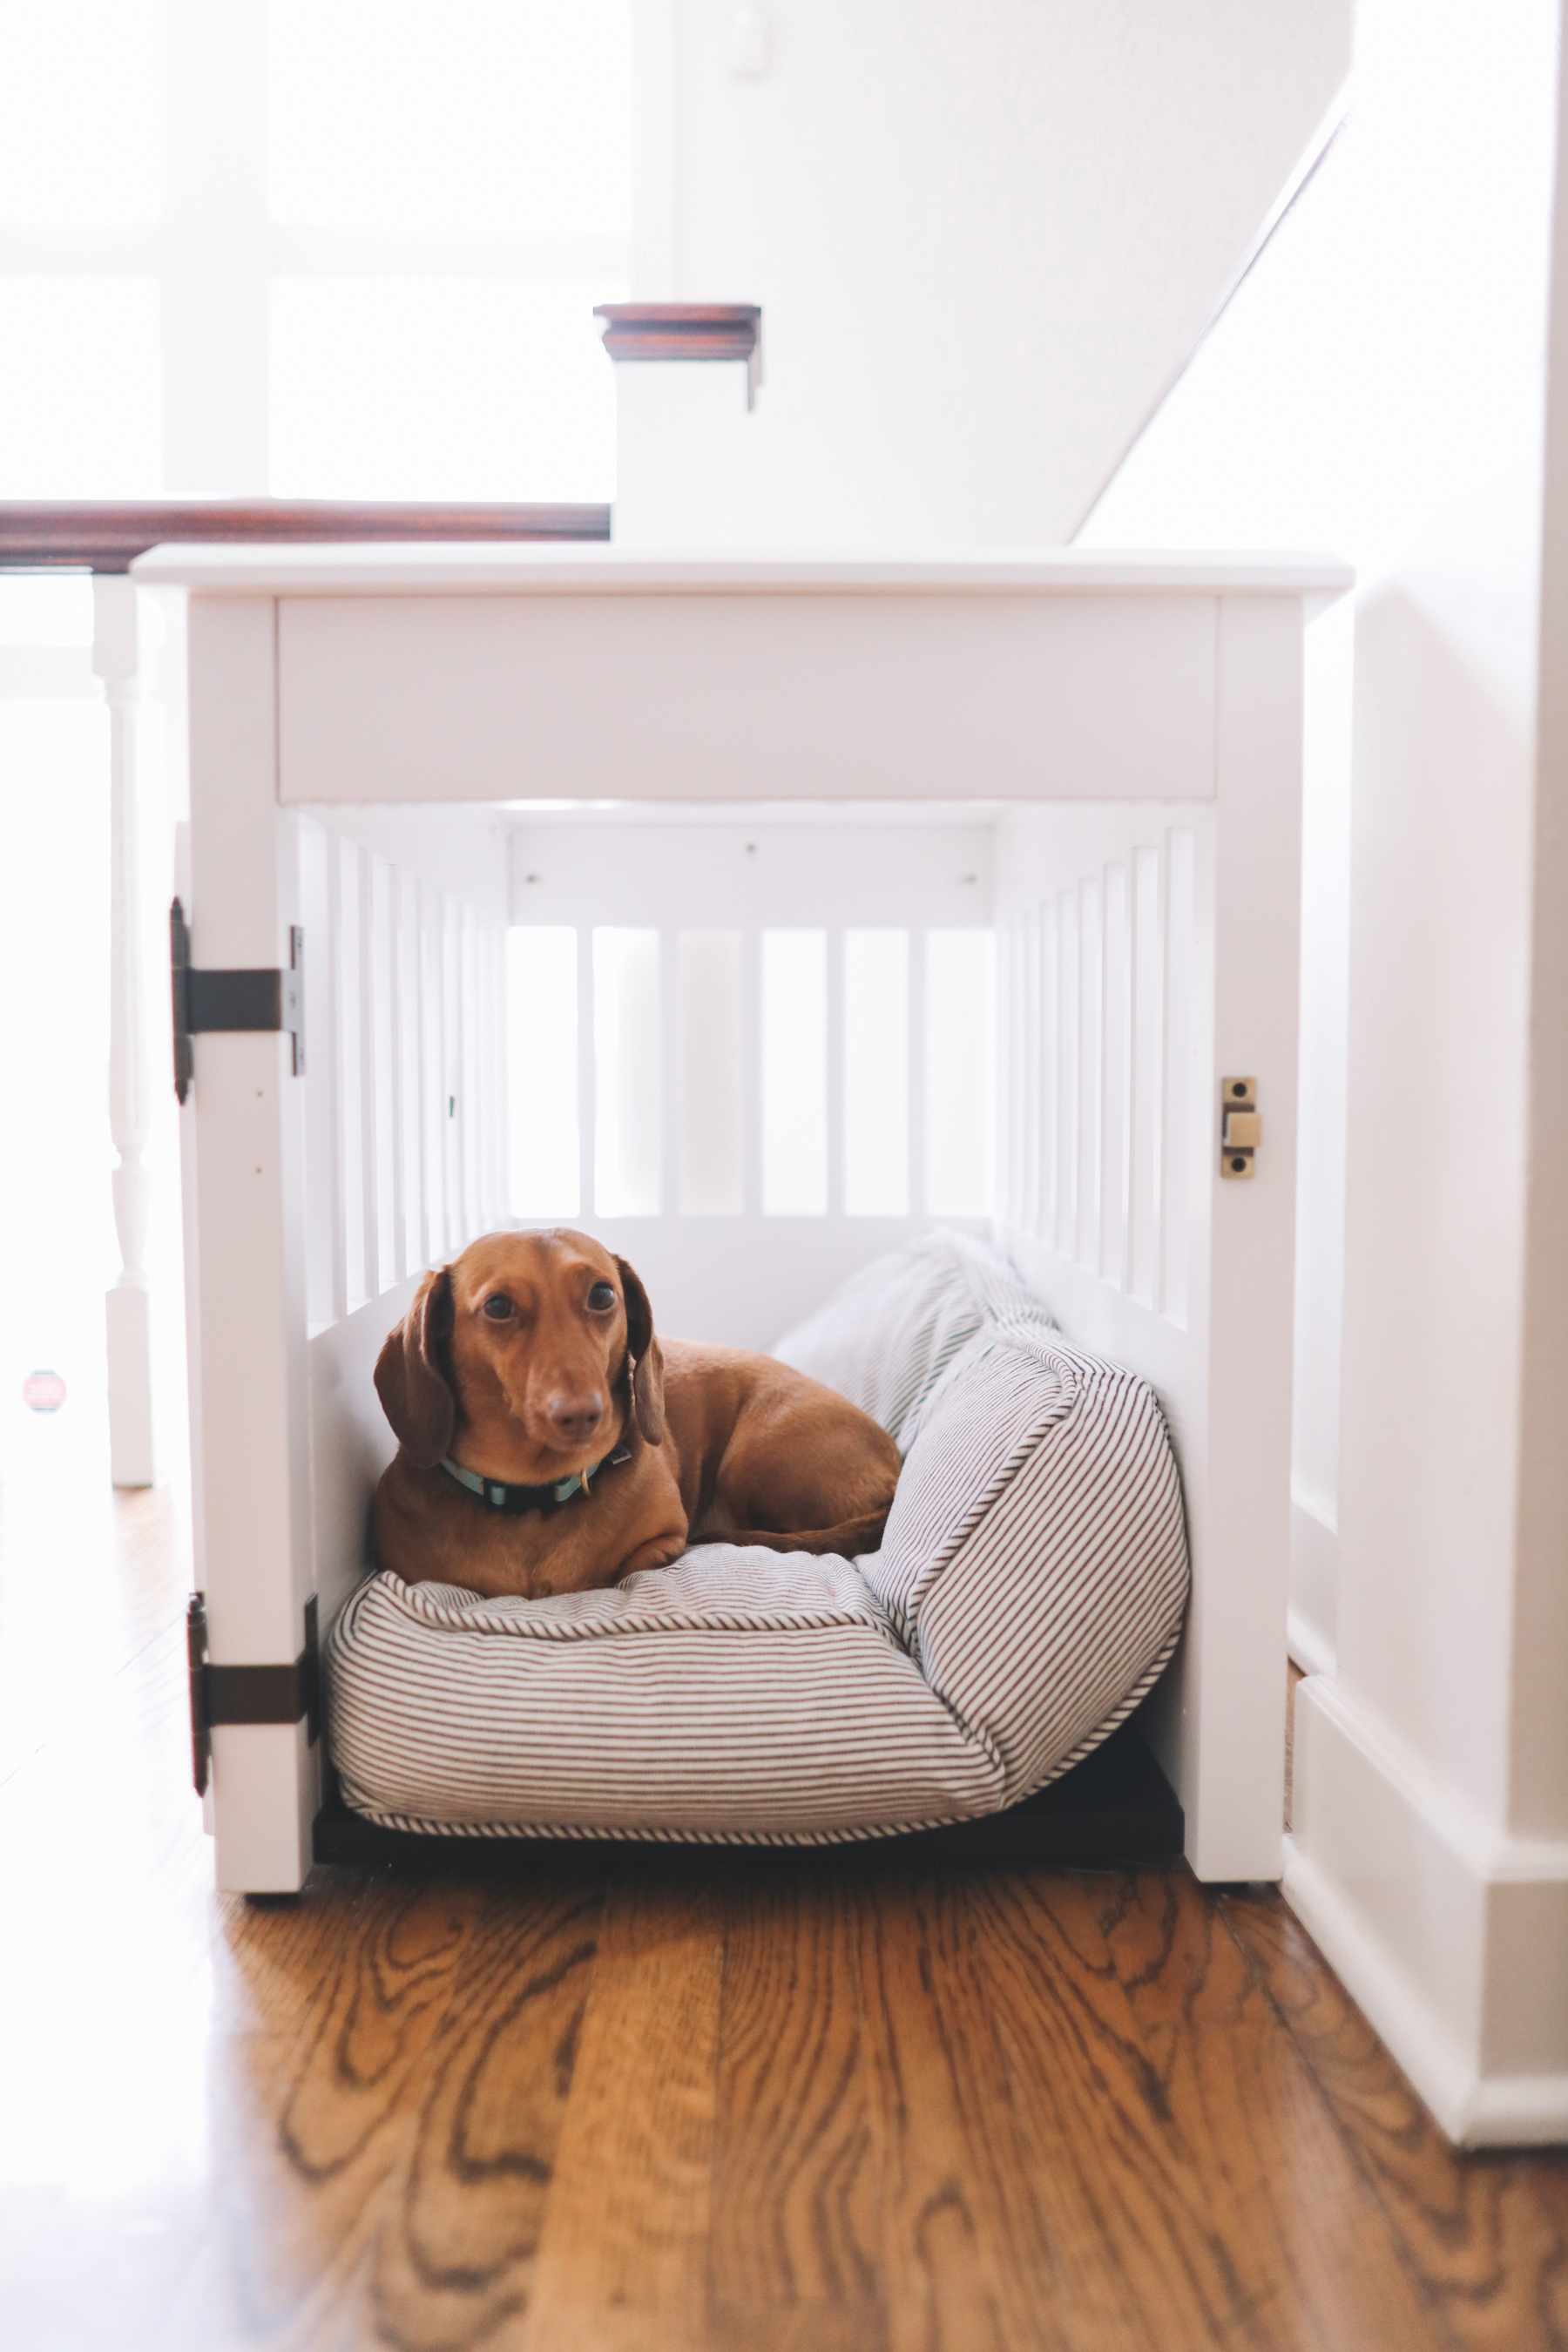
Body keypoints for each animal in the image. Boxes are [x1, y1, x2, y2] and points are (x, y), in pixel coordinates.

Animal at [374, 1232, 902, 1599]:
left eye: (603, 1295)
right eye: (498, 1306)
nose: (583, 1415)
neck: (536, 1499)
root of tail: (895, 1466)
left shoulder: (667, 1540)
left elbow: (628, 1568)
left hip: (754, 1460)